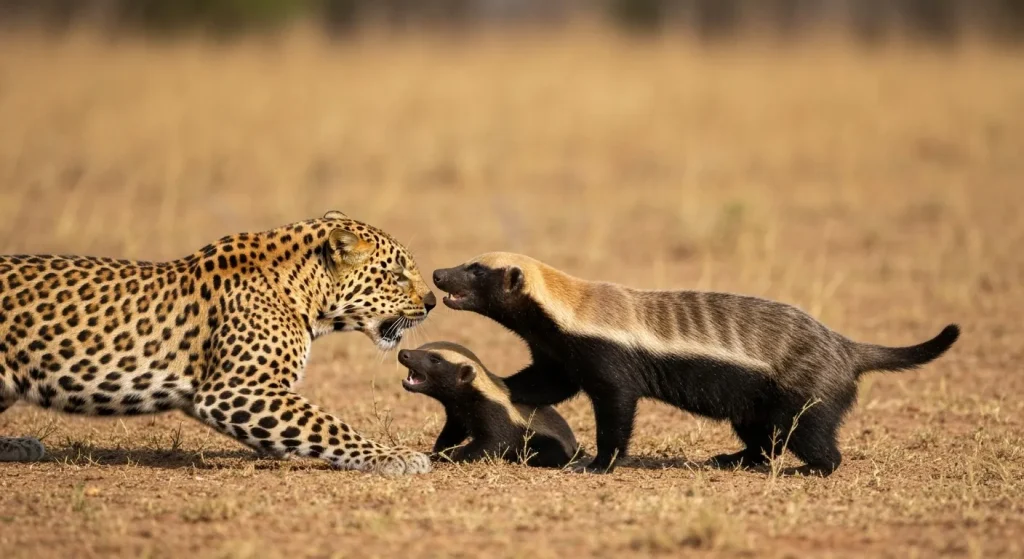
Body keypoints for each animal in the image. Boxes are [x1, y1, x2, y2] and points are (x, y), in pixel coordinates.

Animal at [0, 210, 436, 475]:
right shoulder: (235, 389)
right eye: (396, 275)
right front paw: (395, 456)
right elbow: (328, 425)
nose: (431, 302)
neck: (306, 294)